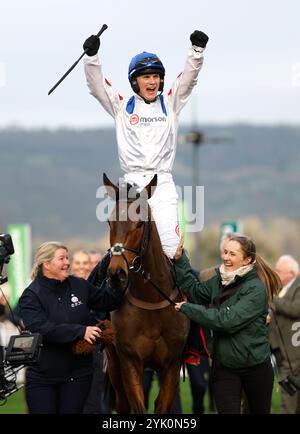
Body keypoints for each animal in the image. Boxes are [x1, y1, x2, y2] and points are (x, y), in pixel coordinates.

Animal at [103, 173, 190, 414]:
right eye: (109, 222)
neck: (151, 299)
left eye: (140, 223)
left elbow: (162, 405)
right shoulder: (129, 361)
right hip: (113, 361)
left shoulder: (171, 366)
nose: (116, 274)